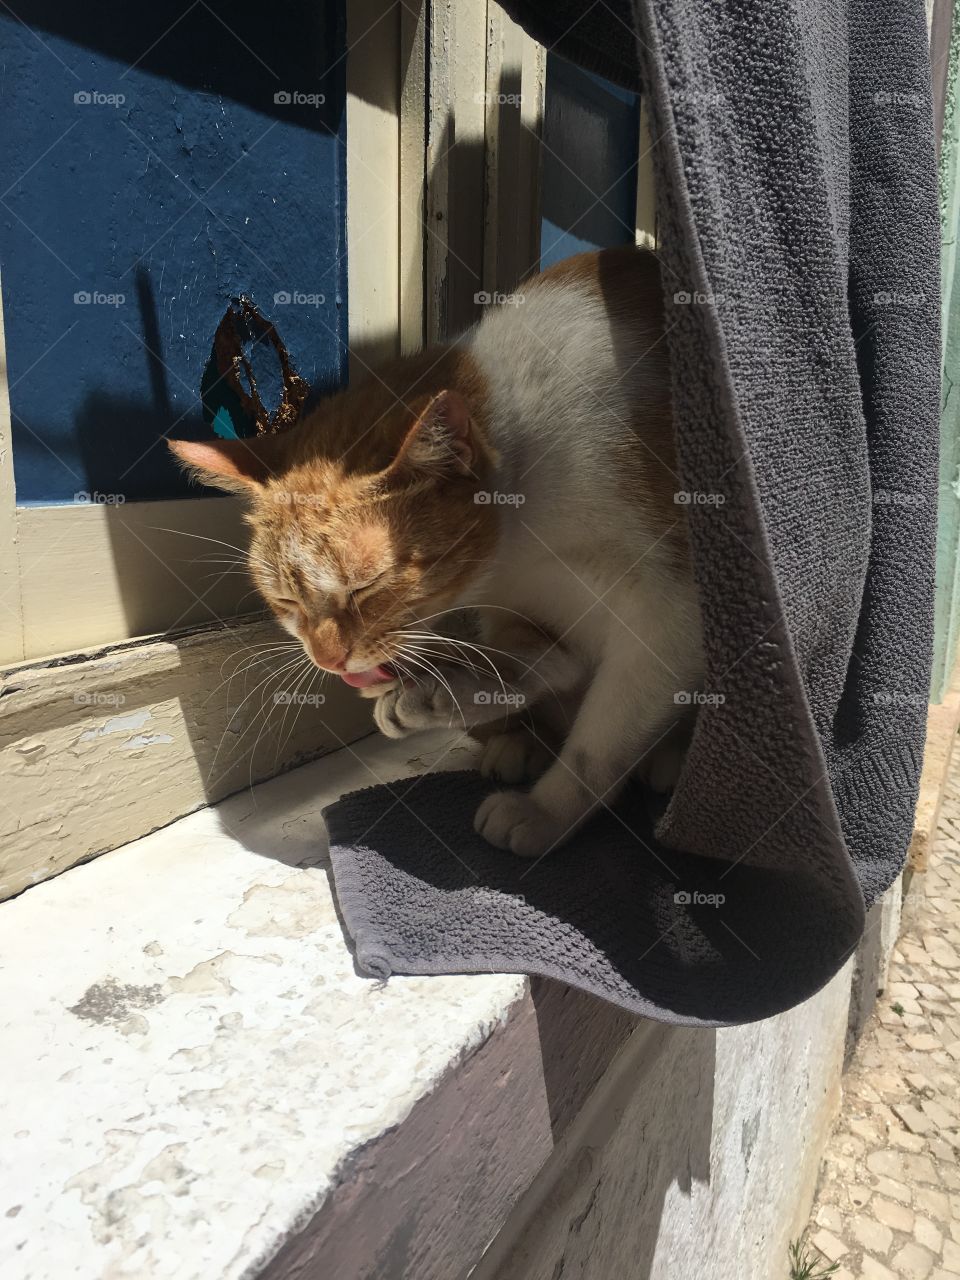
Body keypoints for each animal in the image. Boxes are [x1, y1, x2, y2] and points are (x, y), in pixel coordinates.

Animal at [168, 243, 701, 855]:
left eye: (366, 587)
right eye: (287, 602)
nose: (328, 661)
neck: (525, 540)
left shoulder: (670, 618)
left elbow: (600, 741)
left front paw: (545, 811)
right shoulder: (521, 608)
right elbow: (542, 662)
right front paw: (448, 691)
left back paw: (664, 764)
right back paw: (509, 738)